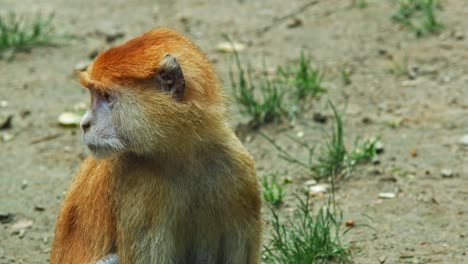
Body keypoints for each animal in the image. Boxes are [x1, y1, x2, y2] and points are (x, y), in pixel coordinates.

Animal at [52, 27, 264, 262]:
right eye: (94, 94)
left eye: (105, 95)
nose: (84, 124)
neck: (183, 154)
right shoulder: (138, 185)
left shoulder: (239, 169)